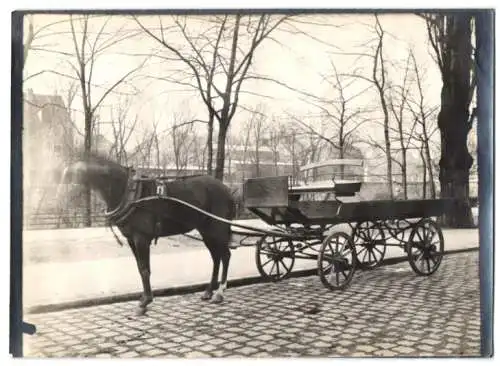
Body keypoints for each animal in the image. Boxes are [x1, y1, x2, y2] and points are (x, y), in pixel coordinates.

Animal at [56, 153, 236, 316]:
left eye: (70, 176)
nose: (58, 200)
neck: (128, 192)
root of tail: (226, 189)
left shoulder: (141, 239)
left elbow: (144, 269)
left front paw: (145, 302)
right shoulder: (131, 239)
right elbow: (140, 267)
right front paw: (144, 299)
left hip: (217, 229)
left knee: (225, 256)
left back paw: (220, 292)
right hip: (206, 231)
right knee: (216, 258)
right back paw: (209, 291)